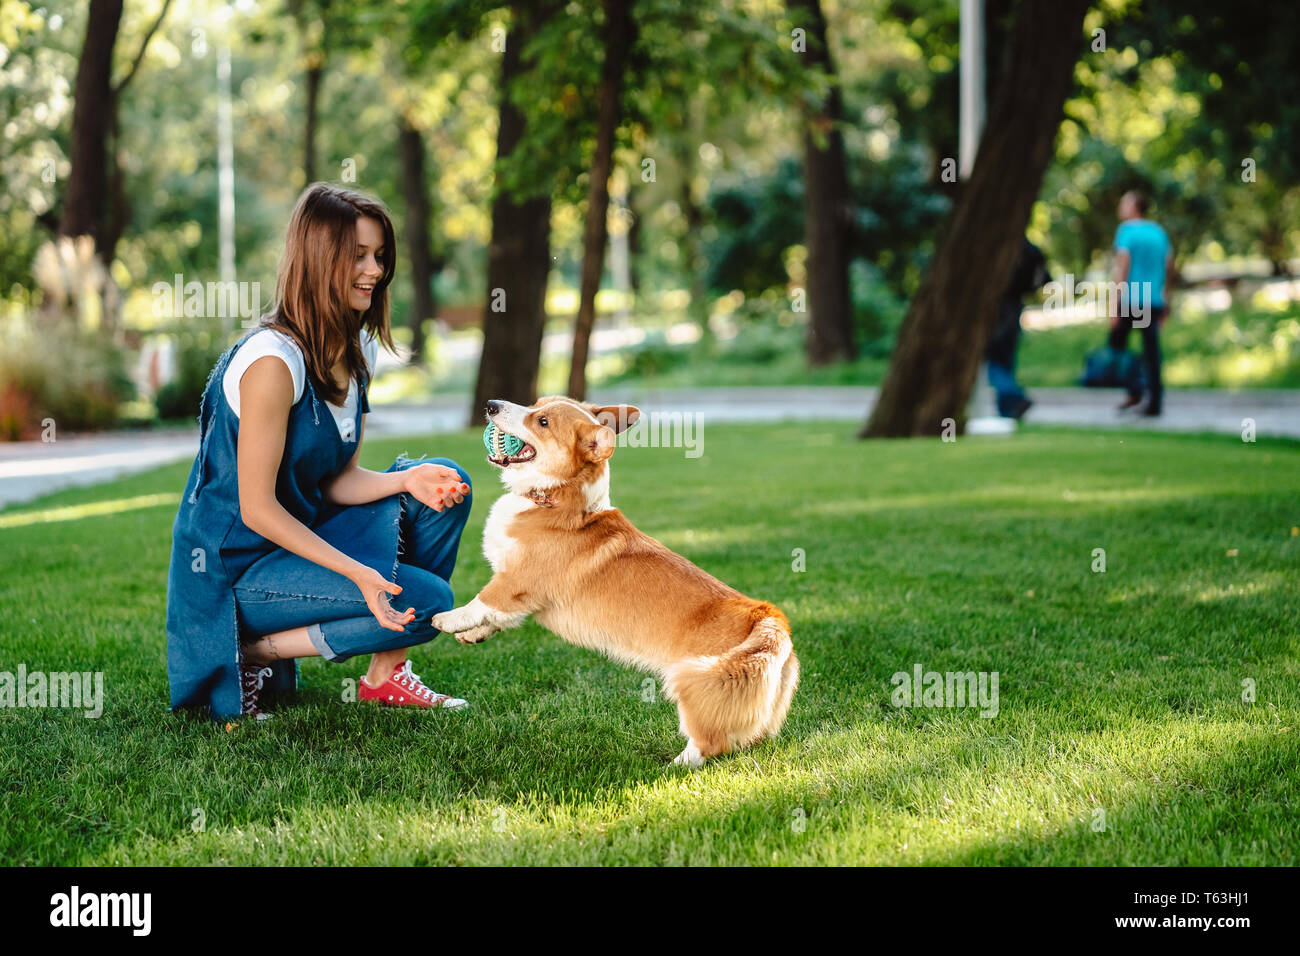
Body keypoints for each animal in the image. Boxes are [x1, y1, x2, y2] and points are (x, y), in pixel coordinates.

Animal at [431, 392, 795, 764]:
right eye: (536, 403)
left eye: (542, 422)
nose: (491, 405)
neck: (556, 499)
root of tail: (768, 618)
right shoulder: (523, 598)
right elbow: (497, 617)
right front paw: (472, 635)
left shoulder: (516, 582)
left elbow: (484, 600)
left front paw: (448, 619)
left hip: (705, 683)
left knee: (708, 740)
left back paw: (676, 765)